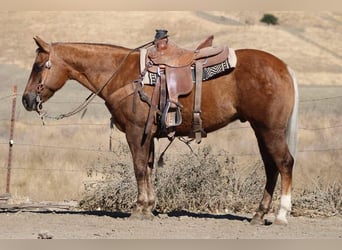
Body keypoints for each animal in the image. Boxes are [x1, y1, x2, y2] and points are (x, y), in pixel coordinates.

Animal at [22, 35, 298, 225]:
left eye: (38, 66)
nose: (26, 100)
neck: (120, 74)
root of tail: (284, 67)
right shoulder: (149, 135)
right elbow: (148, 168)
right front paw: (149, 207)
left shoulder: (135, 133)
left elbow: (138, 168)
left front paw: (139, 209)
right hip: (261, 129)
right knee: (271, 167)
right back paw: (258, 214)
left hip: (270, 129)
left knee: (284, 163)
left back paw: (281, 215)